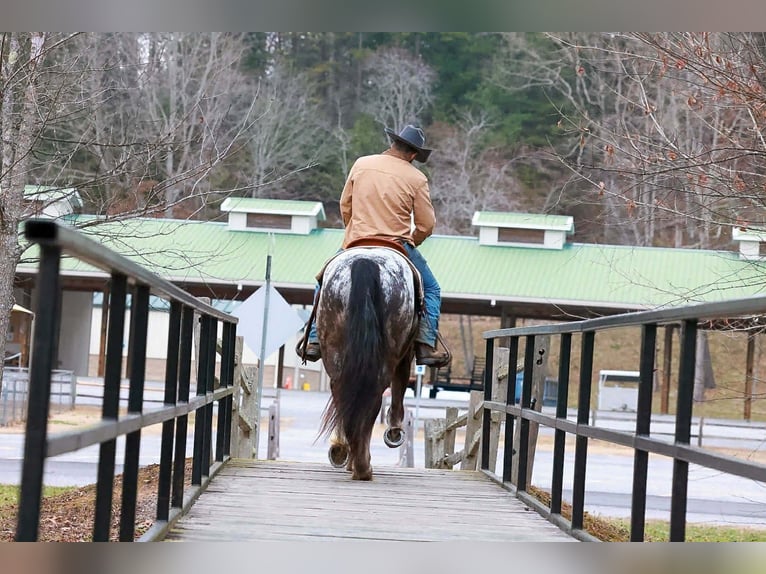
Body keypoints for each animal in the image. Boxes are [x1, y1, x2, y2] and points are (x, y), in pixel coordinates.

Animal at [315, 246, 419, 481]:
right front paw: (394, 431)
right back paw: (362, 467)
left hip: (335, 353)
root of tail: (365, 262)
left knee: (344, 395)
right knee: (372, 402)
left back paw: (348, 455)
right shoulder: (405, 354)